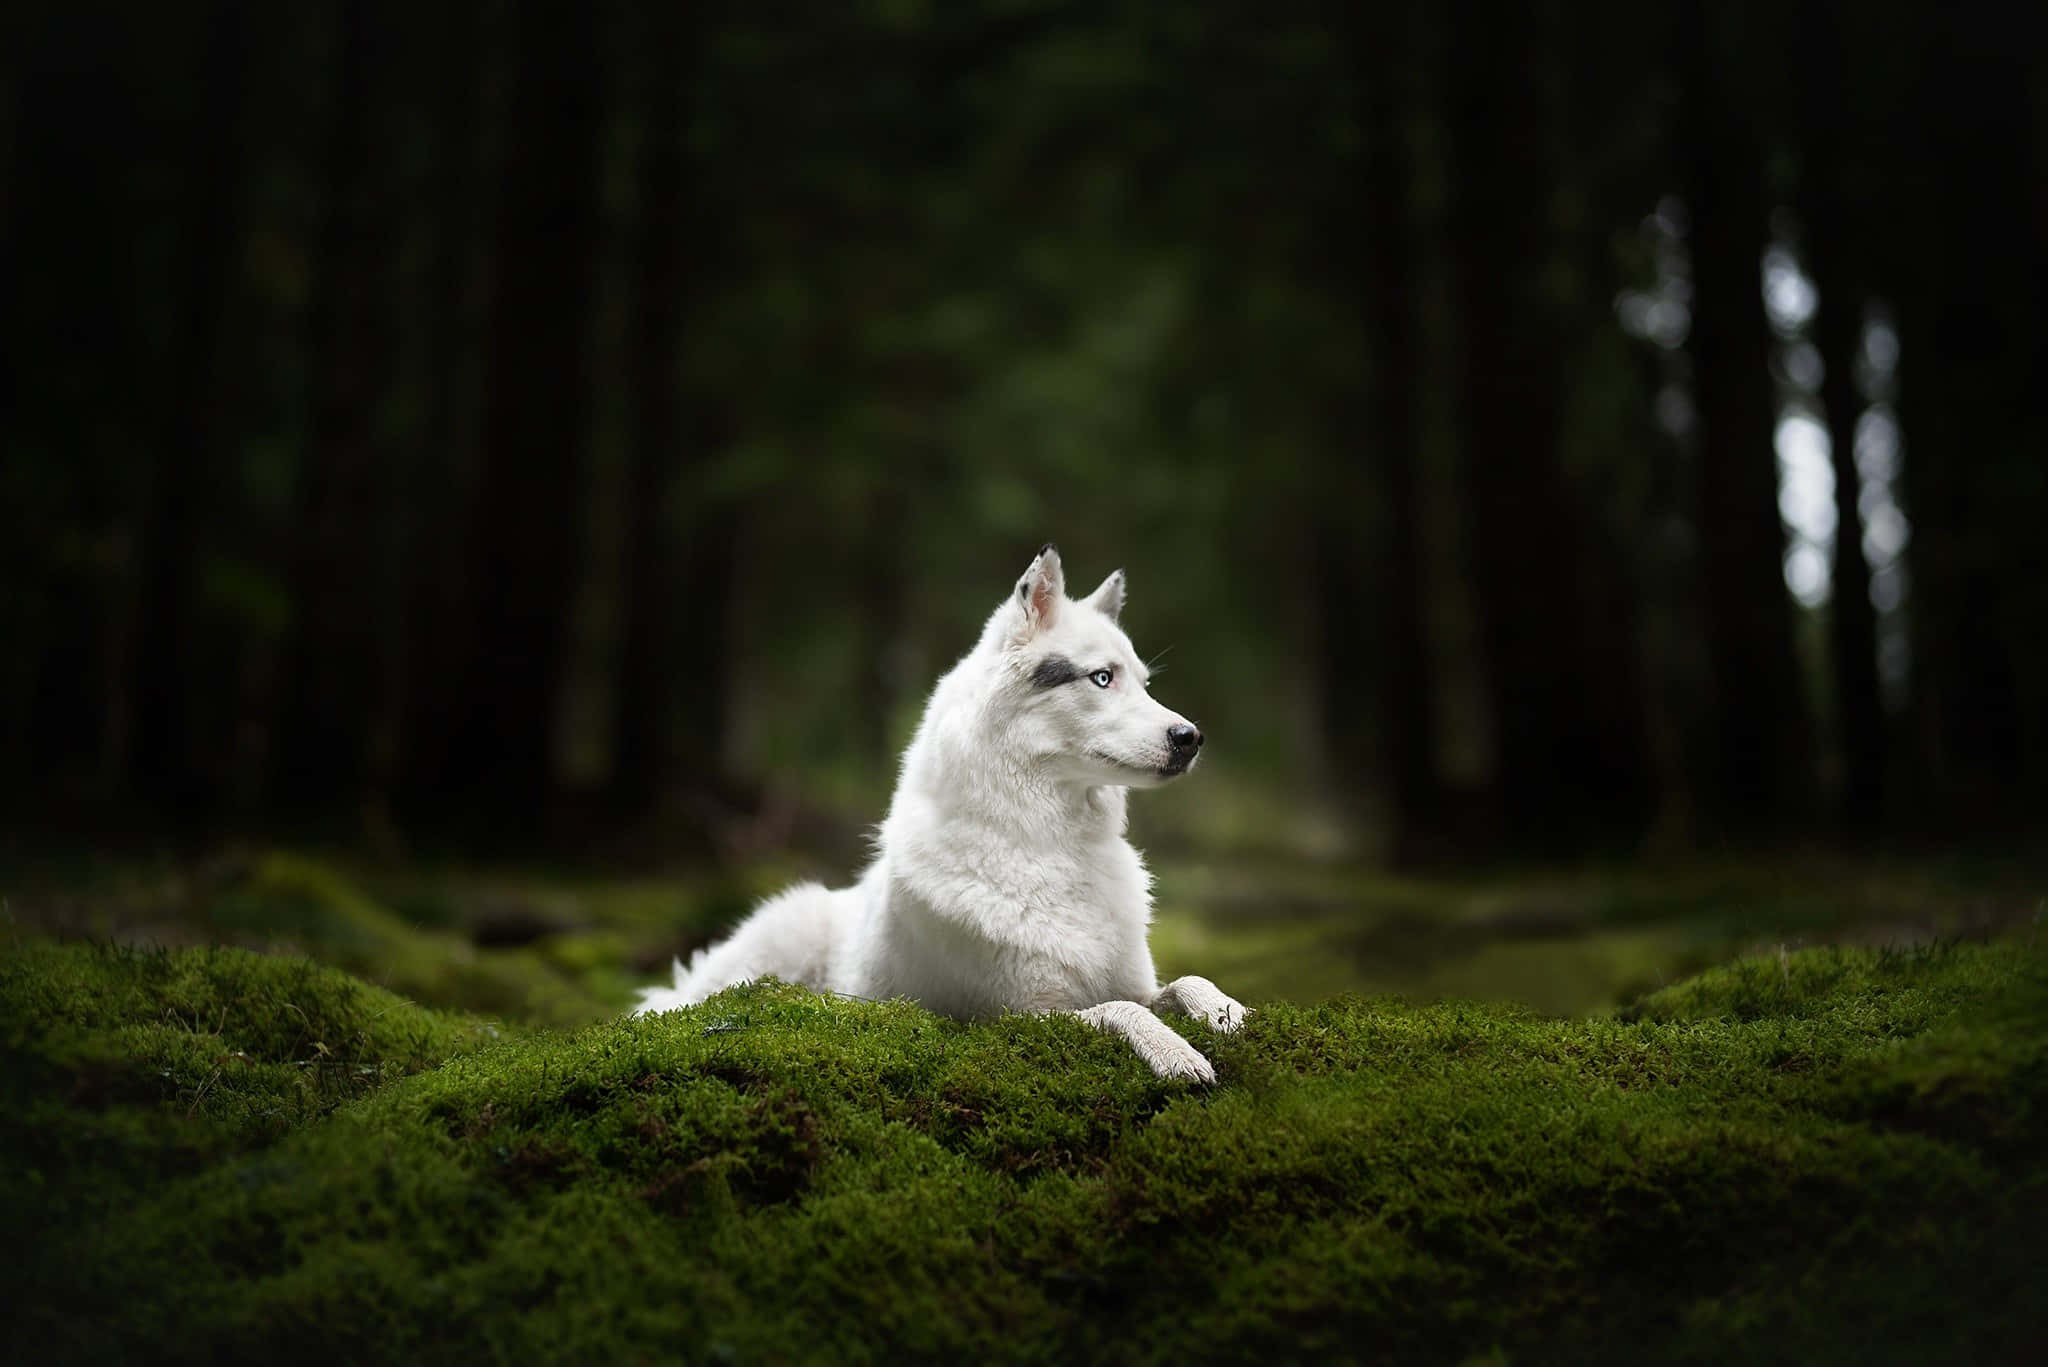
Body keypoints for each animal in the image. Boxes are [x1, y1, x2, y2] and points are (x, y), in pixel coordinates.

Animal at [635, 545, 1245, 1081]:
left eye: (1143, 684)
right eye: (1101, 678)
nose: (1191, 738)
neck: (1049, 845)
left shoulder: (1133, 982)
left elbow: (1186, 982)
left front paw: (1231, 1014)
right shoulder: (1023, 1016)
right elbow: (1123, 1011)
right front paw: (1174, 1052)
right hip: (779, 936)